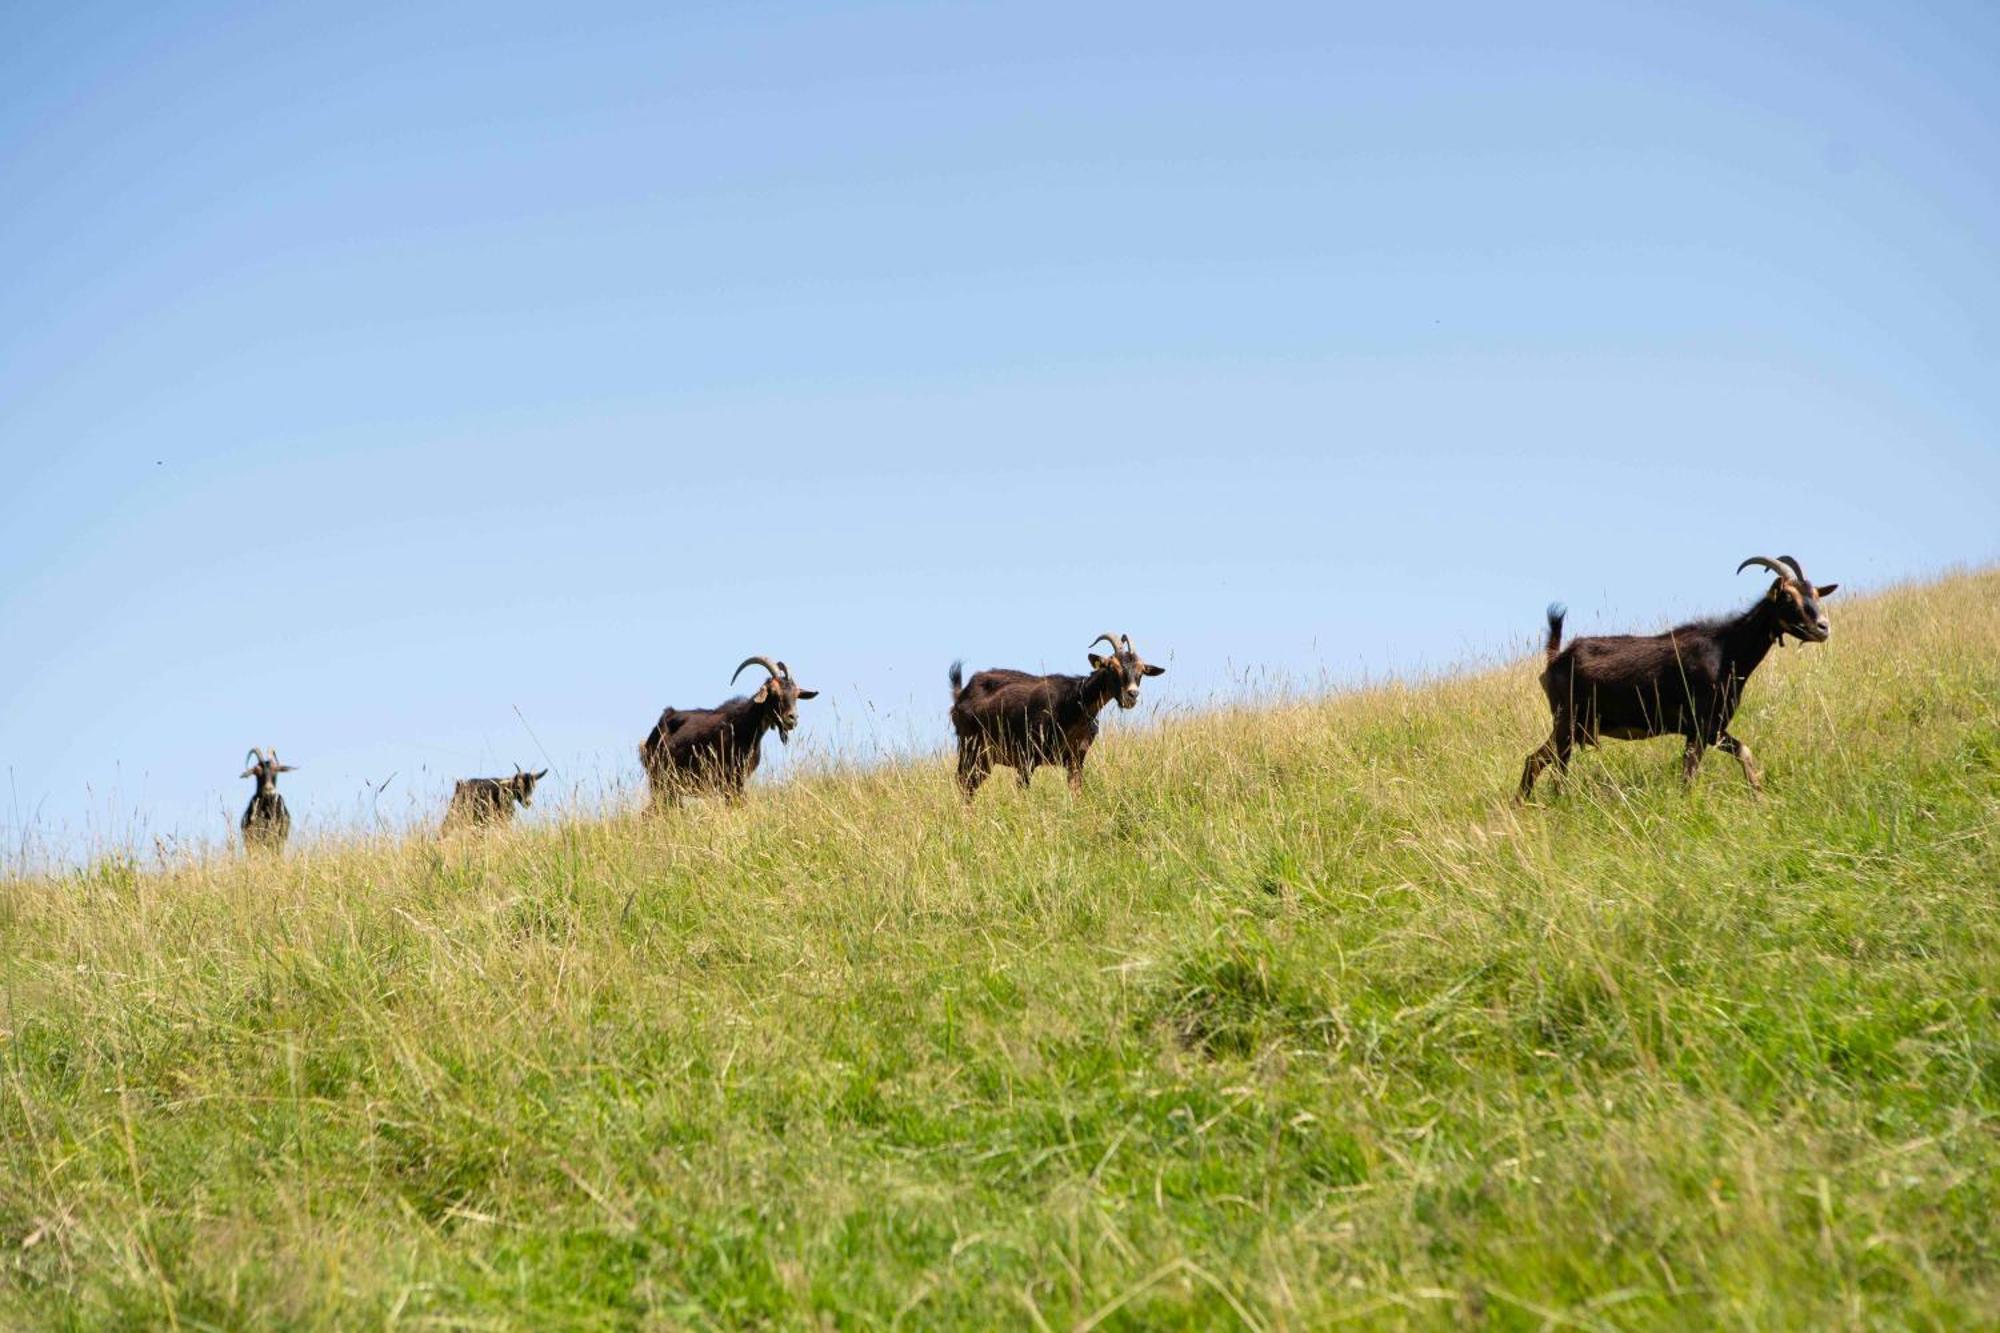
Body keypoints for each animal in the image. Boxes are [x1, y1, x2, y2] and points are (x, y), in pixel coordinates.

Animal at [648, 652, 820, 800]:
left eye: (796, 694)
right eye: (773, 692)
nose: (792, 718)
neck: (744, 727)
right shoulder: (730, 780)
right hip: (661, 783)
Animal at [948, 628, 1168, 792]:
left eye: (1141, 671)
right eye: (1111, 667)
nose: (1132, 695)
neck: (1073, 703)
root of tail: (961, 695)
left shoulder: (1076, 759)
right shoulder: (1027, 757)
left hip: (985, 757)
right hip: (970, 748)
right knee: (963, 783)